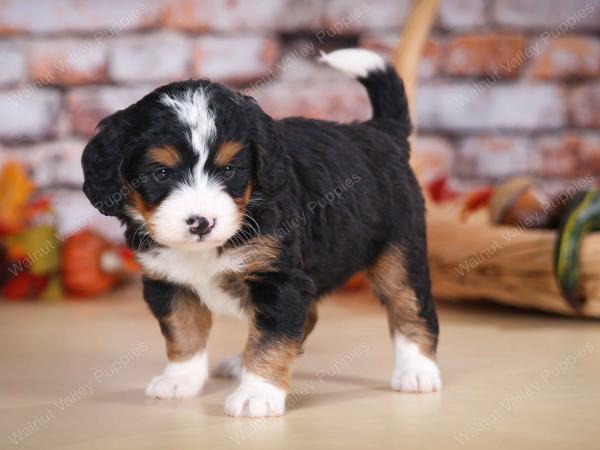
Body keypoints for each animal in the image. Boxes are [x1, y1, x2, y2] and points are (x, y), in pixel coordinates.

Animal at [81, 47, 440, 416]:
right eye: (161, 173)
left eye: (229, 170)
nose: (201, 222)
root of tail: (381, 132)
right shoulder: (167, 281)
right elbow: (183, 331)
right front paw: (180, 379)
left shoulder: (279, 280)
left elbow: (271, 338)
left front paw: (257, 394)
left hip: (399, 253)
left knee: (410, 307)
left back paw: (417, 371)